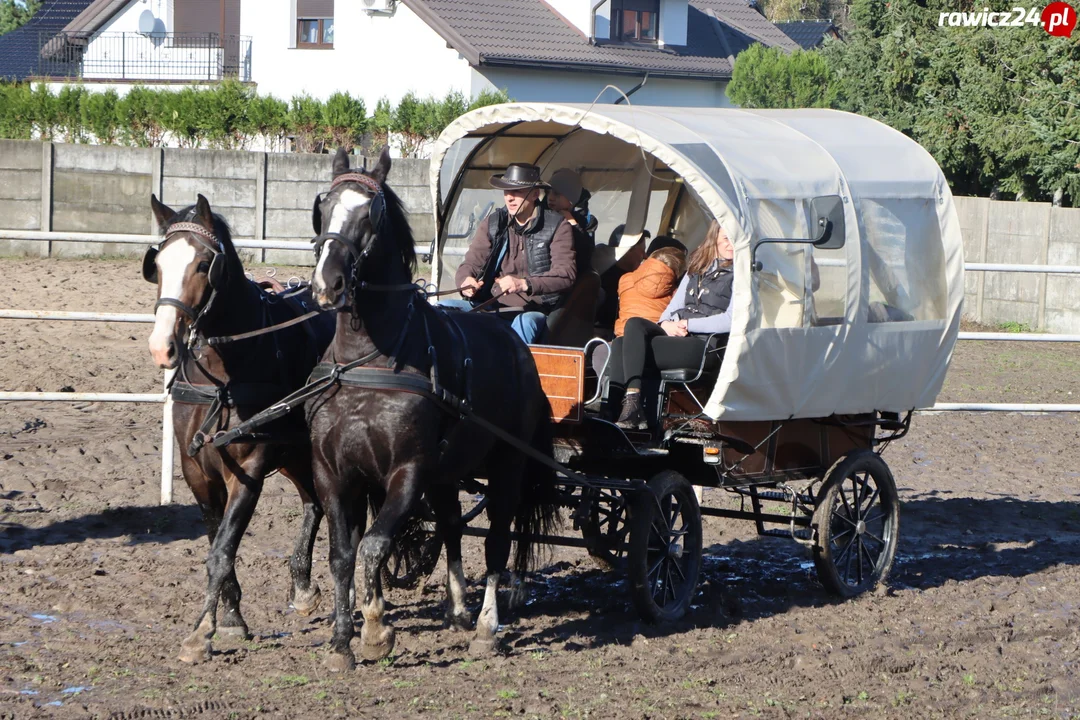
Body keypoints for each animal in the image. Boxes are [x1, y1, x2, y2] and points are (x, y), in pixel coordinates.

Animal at [144, 193, 332, 664]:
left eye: (202, 264)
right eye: (158, 264)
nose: (161, 347)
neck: (223, 378)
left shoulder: (248, 468)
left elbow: (223, 548)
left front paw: (201, 633)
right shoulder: (197, 470)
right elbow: (216, 543)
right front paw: (230, 618)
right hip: (296, 454)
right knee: (314, 503)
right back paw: (303, 587)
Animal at [304, 148, 557, 673]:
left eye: (371, 214)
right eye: (325, 206)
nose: (327, 284)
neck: (368, 362)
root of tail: (516, 345)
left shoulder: (408, 471)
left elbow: (375, 545)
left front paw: (376, 629)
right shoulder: (334, 474)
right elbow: (342, 554)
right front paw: (341, 642)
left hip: (507, 466)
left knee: (497, 539)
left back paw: (485, 628)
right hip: (448, 470)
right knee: (452, 526)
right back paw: (457, 609)